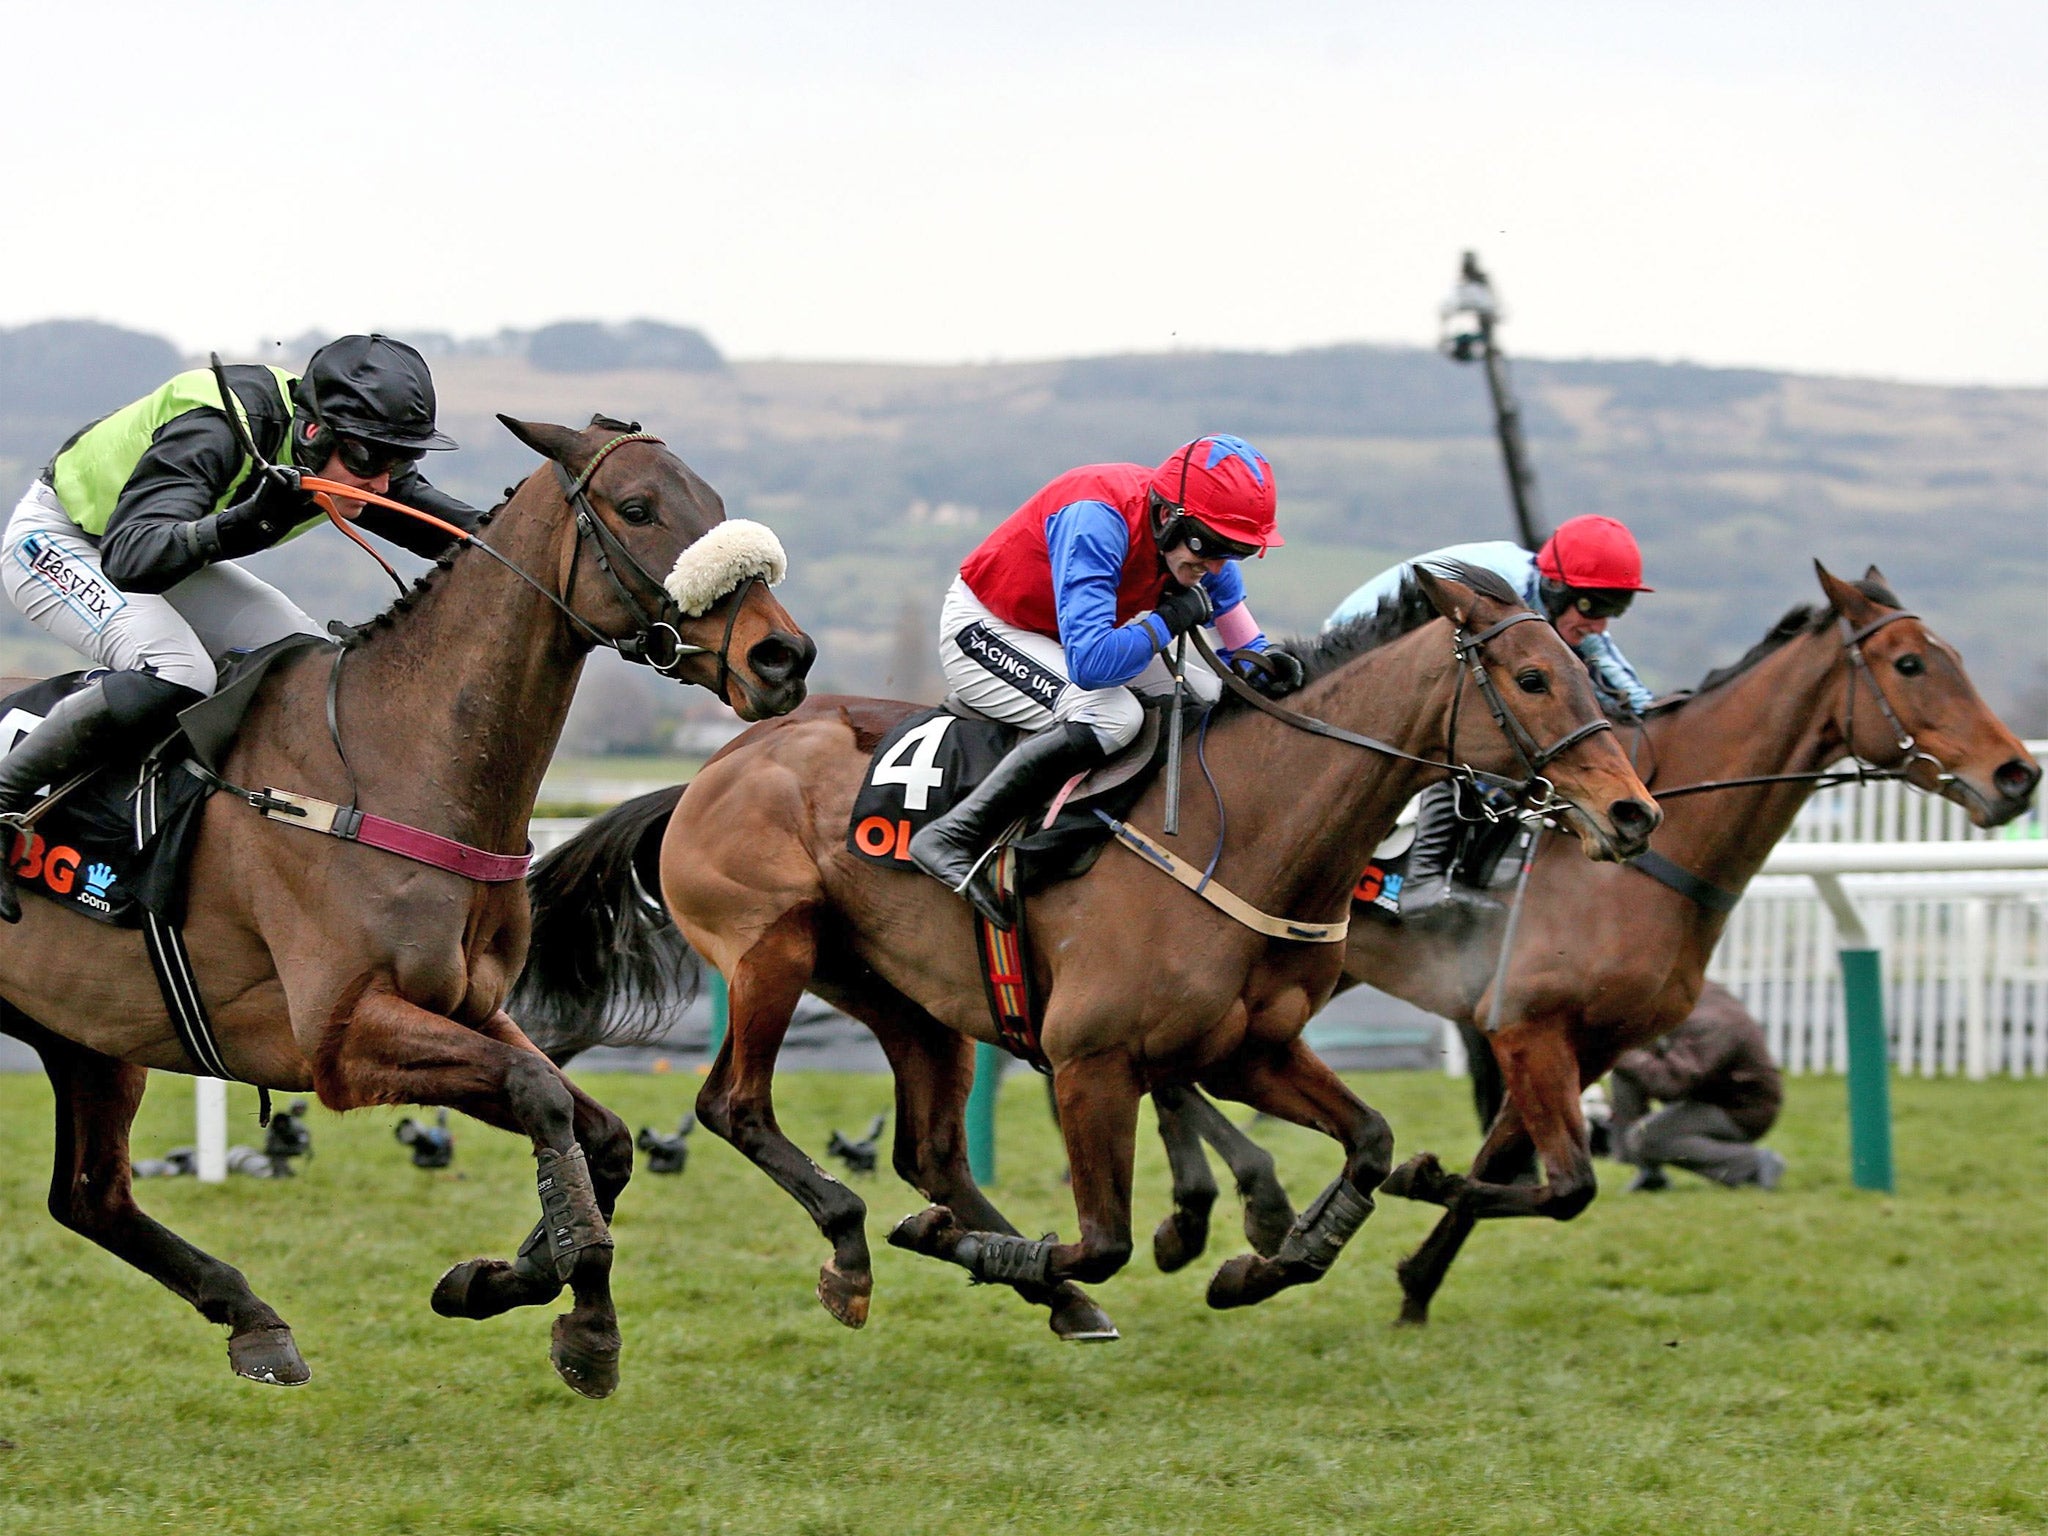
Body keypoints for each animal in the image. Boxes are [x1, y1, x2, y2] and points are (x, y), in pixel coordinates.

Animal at [0, 417, 815, 1392]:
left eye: (716, 503)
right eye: (638, 507)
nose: (783, 656)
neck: (389, 761)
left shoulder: (467, 1006)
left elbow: (605, 1134)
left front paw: (516, 1281)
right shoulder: (342, 1037)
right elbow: (540, 1095)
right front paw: (574, 1296)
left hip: (86, 1031)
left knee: (91, 1195)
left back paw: (253, 1320)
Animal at [655, 561, 1662, 1343]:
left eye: (1583, 672)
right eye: (1531, 679)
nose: (1633, 812)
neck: (1246, 829)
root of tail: (721, 762)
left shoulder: (1253, 1049)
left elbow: (1371, 1144)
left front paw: (1264, 1264)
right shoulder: (1090, 1061)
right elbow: (1106, 1241)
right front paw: (963, 1244)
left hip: (900, 994)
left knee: (932, 1150)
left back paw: (1041, 1290)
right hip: (774, 951)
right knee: (733, 1106)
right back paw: (862, 1246)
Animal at [1146, 565, 2039, 1327]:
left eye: (1953, 658)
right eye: (1912, 664)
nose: (2017, 776)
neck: (1654, 860)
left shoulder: (1589, 1041)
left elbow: (1517, 1172)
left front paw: (1416, 1277)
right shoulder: (1527, 1026)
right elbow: (1566, 1184)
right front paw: (1418, 1180)